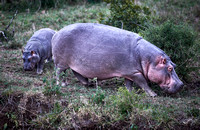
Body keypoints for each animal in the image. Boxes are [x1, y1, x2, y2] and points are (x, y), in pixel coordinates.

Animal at [51, 23, 183, 96]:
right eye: (169, 68)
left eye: (175, 65)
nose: (181, 84)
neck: (148, 58)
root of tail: (56, 33)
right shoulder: (134, 72)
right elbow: (143, 83)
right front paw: (153, 94)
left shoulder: (130, 72)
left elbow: (128, 83)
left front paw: (130, 93)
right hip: (61, 62)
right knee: (59, 72)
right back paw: (62, 84)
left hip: (76, 63)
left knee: (76, 72)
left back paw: (88, 84)